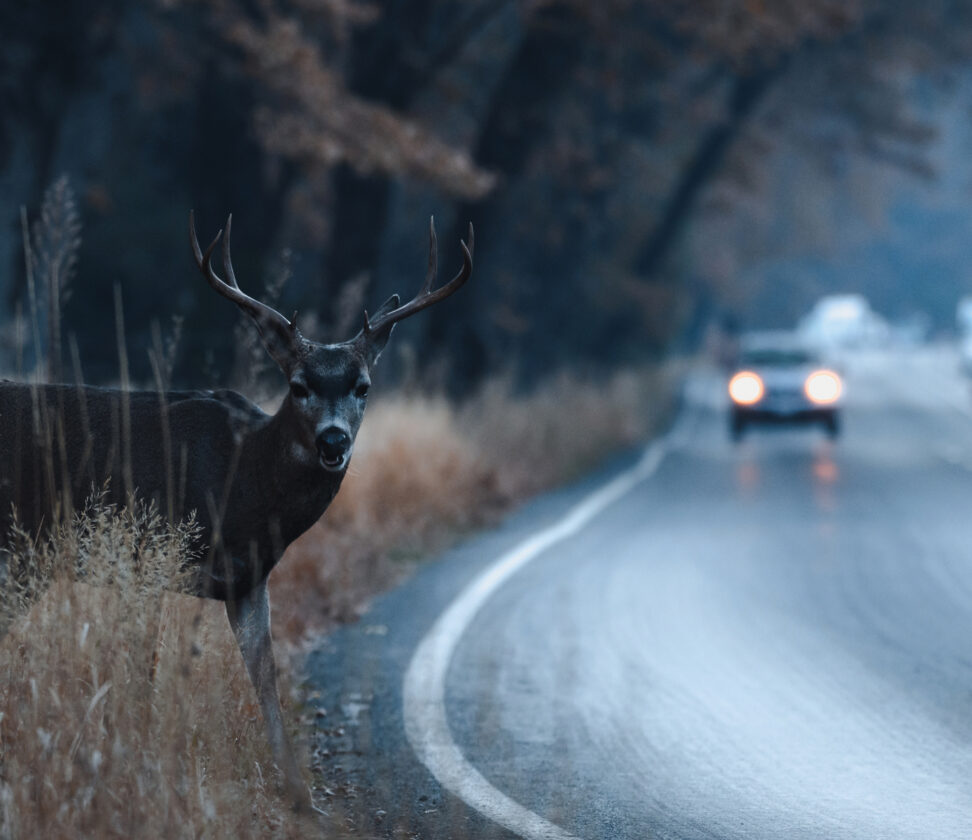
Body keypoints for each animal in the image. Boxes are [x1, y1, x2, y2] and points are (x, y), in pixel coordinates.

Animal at [0, 211, 473, 814]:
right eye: (298, 385)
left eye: (363, 386)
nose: (333, 440)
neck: (244, 485)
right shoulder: (151, 550)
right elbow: (146, 667)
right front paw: (140, 762)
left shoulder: (248, 579)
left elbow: (264, 671)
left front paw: (298, 793)